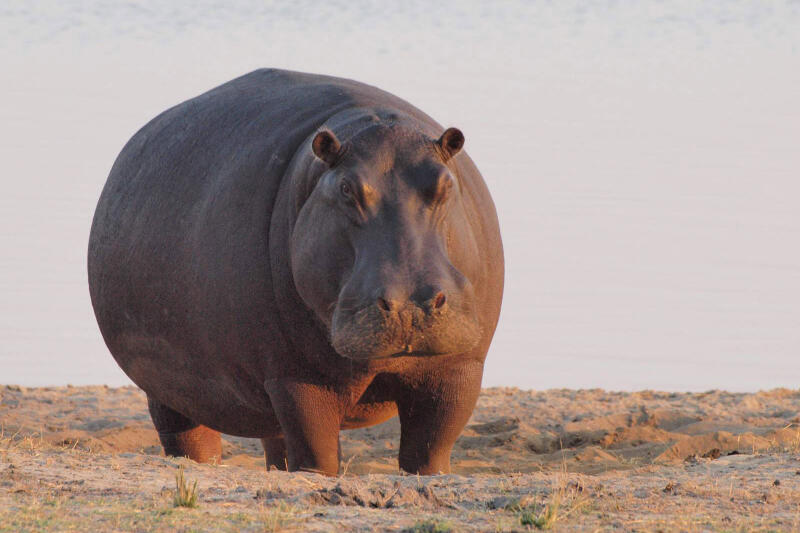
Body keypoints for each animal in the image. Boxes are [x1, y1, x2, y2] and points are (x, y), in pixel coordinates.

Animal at [88, 68, 504, 475]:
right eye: (346, 188)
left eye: (446, 183)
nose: (409, 306)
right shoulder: (296, 379)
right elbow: (317, 455)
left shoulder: (458, 370)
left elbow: (431, 454)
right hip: (169, 390)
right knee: (190, 438)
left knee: (276, 444)